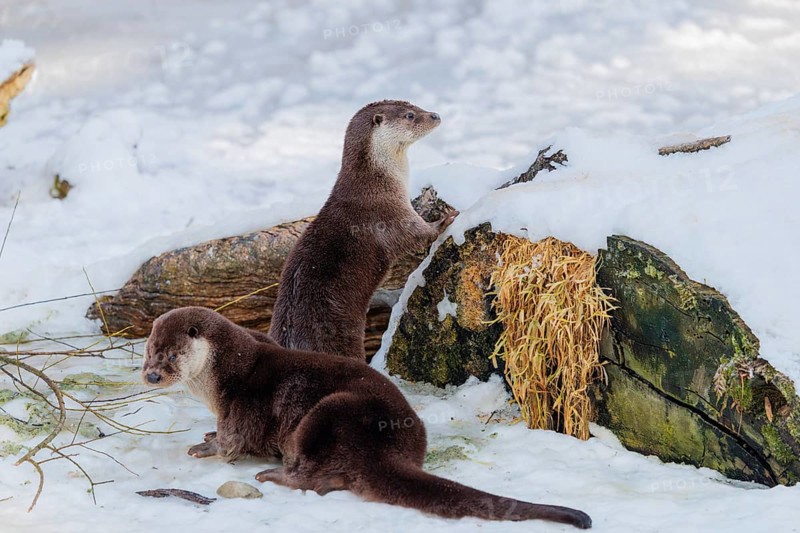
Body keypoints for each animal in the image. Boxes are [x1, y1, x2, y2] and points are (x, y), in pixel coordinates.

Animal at [142, 307, 591, 529]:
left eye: (171, 356)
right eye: (149, 352)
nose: (151, 375)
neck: (223, 372)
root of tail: (385, 447)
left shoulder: (242, 402)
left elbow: (233, 439)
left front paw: (206, 446)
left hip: (328, 413)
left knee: (314, 478)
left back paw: (273, 475)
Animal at [269, 100, 458, 360]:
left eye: (415, 105)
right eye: (410, 115)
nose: (435, 115)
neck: (373, 181)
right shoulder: (385, 212)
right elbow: (415, 235)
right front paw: (444, 220)